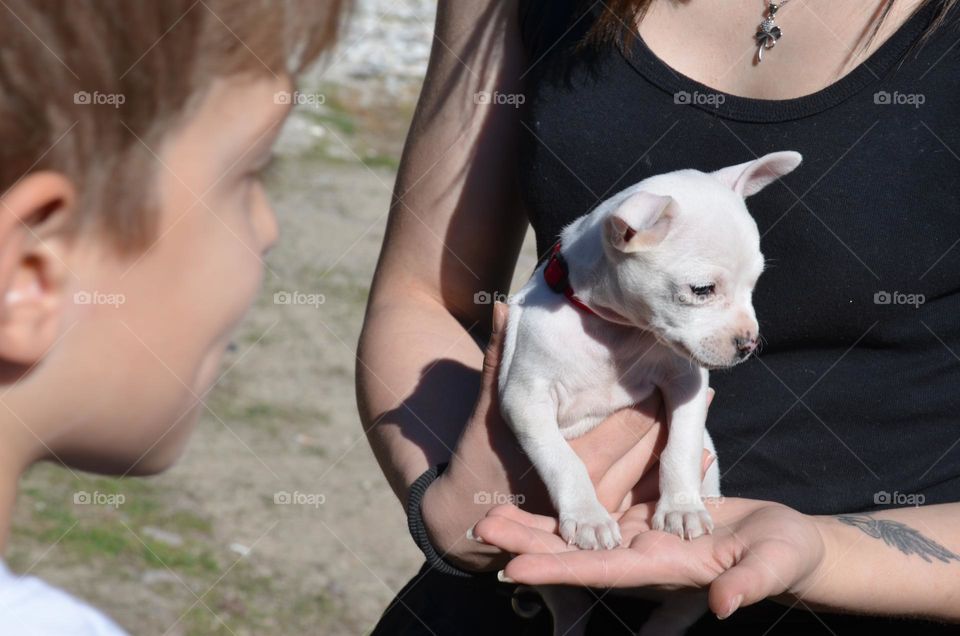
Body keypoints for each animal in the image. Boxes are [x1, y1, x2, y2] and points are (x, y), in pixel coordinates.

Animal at [496, 150, 804, 636]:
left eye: (754, 284)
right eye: (702, 290)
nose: (748, 344)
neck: (615, 331)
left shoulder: (688, 384)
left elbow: (681, 447)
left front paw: (680, 508)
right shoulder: (525, 400)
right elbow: (563, 459)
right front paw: (589, 516)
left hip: (688, 596)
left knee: (678, 611)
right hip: (559, 587)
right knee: (570, 607)